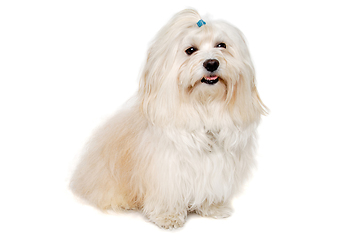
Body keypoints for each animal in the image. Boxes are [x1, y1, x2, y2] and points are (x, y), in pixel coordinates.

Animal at [71, 8, 268, 229]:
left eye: (221, 45)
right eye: (190, 50)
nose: (211, 63)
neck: (205, 108)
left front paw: (214, 208)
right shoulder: (166, 170)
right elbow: (167, 195)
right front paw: (169, 216)